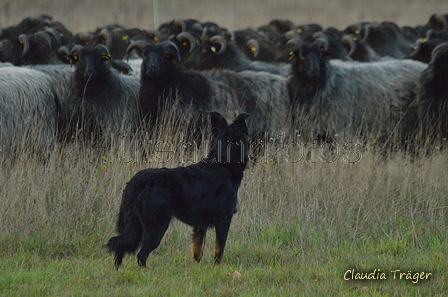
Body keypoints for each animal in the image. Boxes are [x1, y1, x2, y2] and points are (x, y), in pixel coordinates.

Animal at [107, 110, 250, 266]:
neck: (223, 163)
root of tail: (137, 182)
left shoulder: (200, 224)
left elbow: (198, 249)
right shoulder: (224, 219)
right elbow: (219, 249)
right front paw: (217, 267)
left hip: (131, 224)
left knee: (120, 245)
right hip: (157, 226)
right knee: (141, 255)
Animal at [288, 38, 428, 146]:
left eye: (320, 54)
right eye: (302, 55)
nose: (315, 72)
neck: (326, 82)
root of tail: (422, 66)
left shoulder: (341, 129)